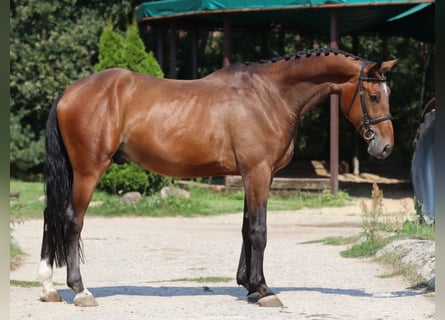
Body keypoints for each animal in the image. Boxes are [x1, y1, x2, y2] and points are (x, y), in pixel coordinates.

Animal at [38, 48, 398, 308]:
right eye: (374, 96)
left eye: (388, 93)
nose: (386, 146)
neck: (270, 94)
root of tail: (69, 92)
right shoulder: (258, 172)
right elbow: (258, 231)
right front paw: (264, 290)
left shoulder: (253, 175)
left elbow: (245, 229)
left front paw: (250, 286)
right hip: (88, 171)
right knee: (71, 221)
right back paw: (80, 291)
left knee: (50, 217)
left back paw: (48, 287)